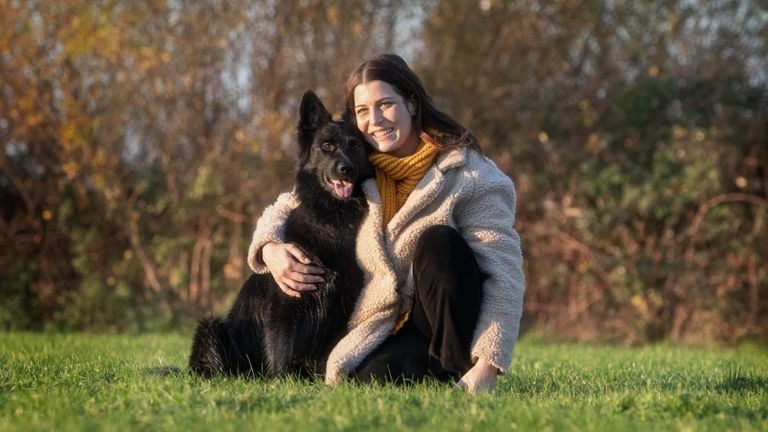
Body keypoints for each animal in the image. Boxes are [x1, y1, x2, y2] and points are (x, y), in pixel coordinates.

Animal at [190, 90, 374, 378]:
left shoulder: (342, 304)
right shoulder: (286, 304)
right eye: (326, 146)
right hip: (211, 329)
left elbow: (330, 353)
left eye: (354, 145)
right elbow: (281, 349)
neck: (333, 218)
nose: (346, 169)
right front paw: (282, 380)